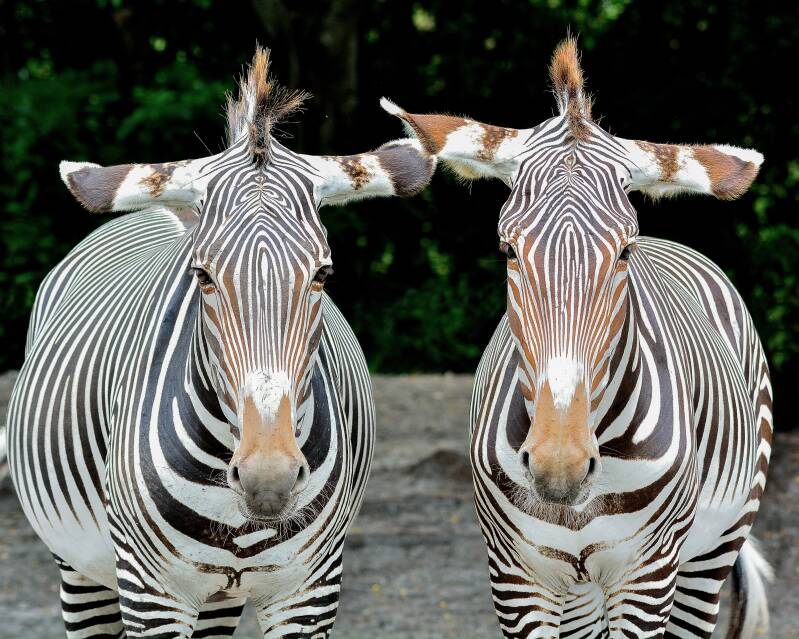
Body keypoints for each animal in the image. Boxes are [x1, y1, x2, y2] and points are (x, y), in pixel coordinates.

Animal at [7, 47, 434, 638]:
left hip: (217, 601)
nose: (269, 481)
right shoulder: (150, 594)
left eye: (323, 275)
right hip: (81, 570)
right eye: (203, 277)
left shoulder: (309, 592)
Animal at [382, 38, 772, 638]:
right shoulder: (518, 579)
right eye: (508, 249)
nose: (558, 466)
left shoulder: (647, 578)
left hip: (709, 557)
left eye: (624, 251)